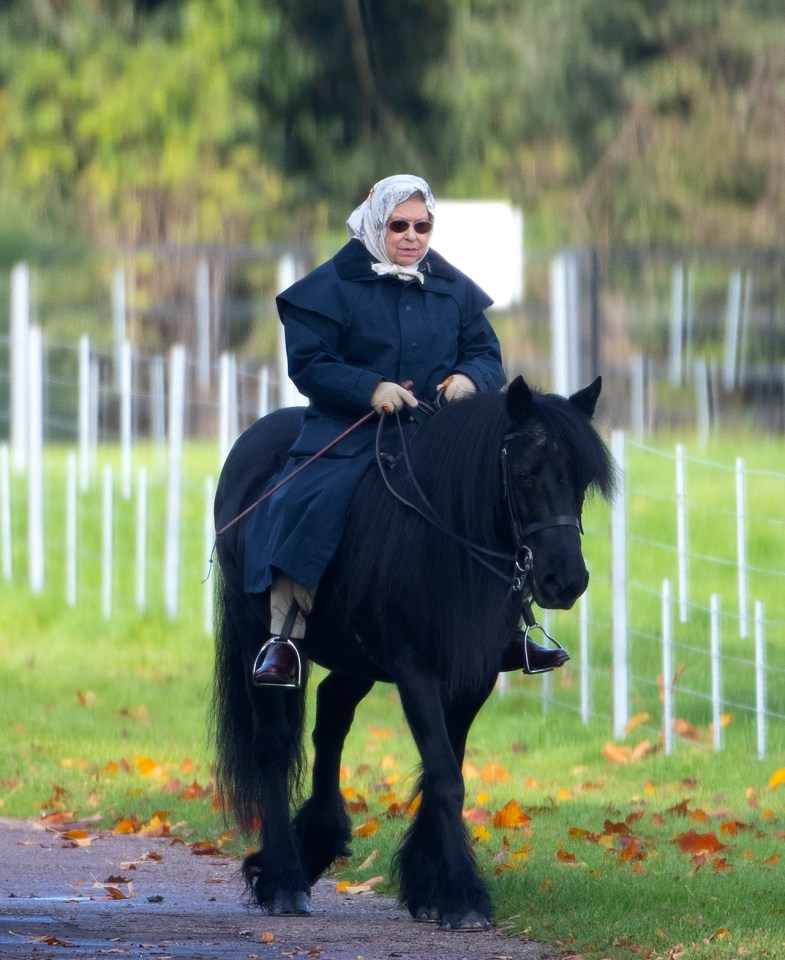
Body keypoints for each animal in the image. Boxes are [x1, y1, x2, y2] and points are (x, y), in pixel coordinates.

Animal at [211, 376, 616, 928]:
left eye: (580, 481)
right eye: (525, 475)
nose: (565, 582)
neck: (443, 536)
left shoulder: (472, 676)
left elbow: (448, 766)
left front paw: (429, 886)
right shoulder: (414, 671)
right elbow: (445, 776)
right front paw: (464, 895)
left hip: (356, 657)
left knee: (332, 715)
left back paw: (320, 838)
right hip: (256, 633)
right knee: (273, 744)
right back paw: (285, 879)